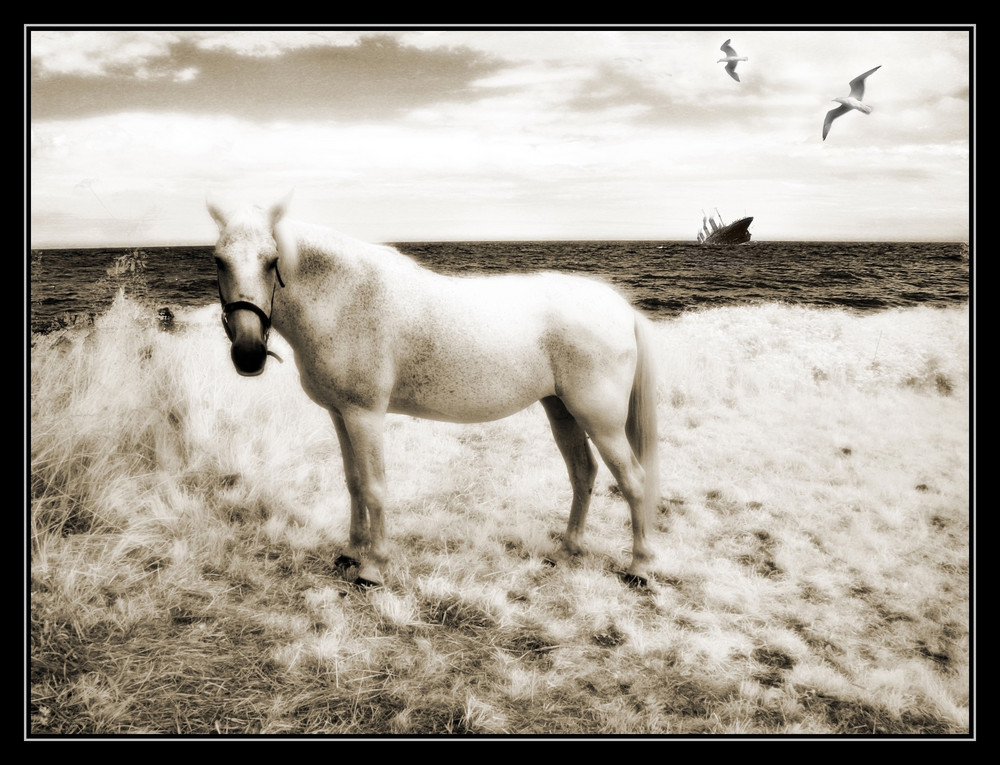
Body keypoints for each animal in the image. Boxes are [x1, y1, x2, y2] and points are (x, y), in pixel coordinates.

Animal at [208, 195, 660, 584]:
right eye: (218, 261)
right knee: (583, 473)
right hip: (561, 409)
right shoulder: (340, 414)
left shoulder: (364, 415)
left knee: (634, 480)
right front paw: (351, 551)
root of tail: (621, 308)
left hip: (600, 420)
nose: (248, 353)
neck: (345, 298)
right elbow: (353, 483)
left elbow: (374, 487)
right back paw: (568, 551)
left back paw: (639, 566)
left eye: (272, 261)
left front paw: (373, 567)